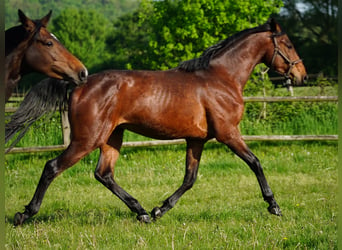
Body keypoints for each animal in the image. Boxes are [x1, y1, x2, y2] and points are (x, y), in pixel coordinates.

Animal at [13, 17, 308, 225]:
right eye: (289, 44)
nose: (302, 76)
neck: (222, 77)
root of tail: (79, 84)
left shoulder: (197, 139)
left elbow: (189, 178)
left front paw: (159, 210)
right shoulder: (228, 133)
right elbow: (255, 162)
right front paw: (273, 205)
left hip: (111, 137)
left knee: (103, 174)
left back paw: (142, 212)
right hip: (87, 139)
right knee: (52, 167)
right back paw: (24, 214)